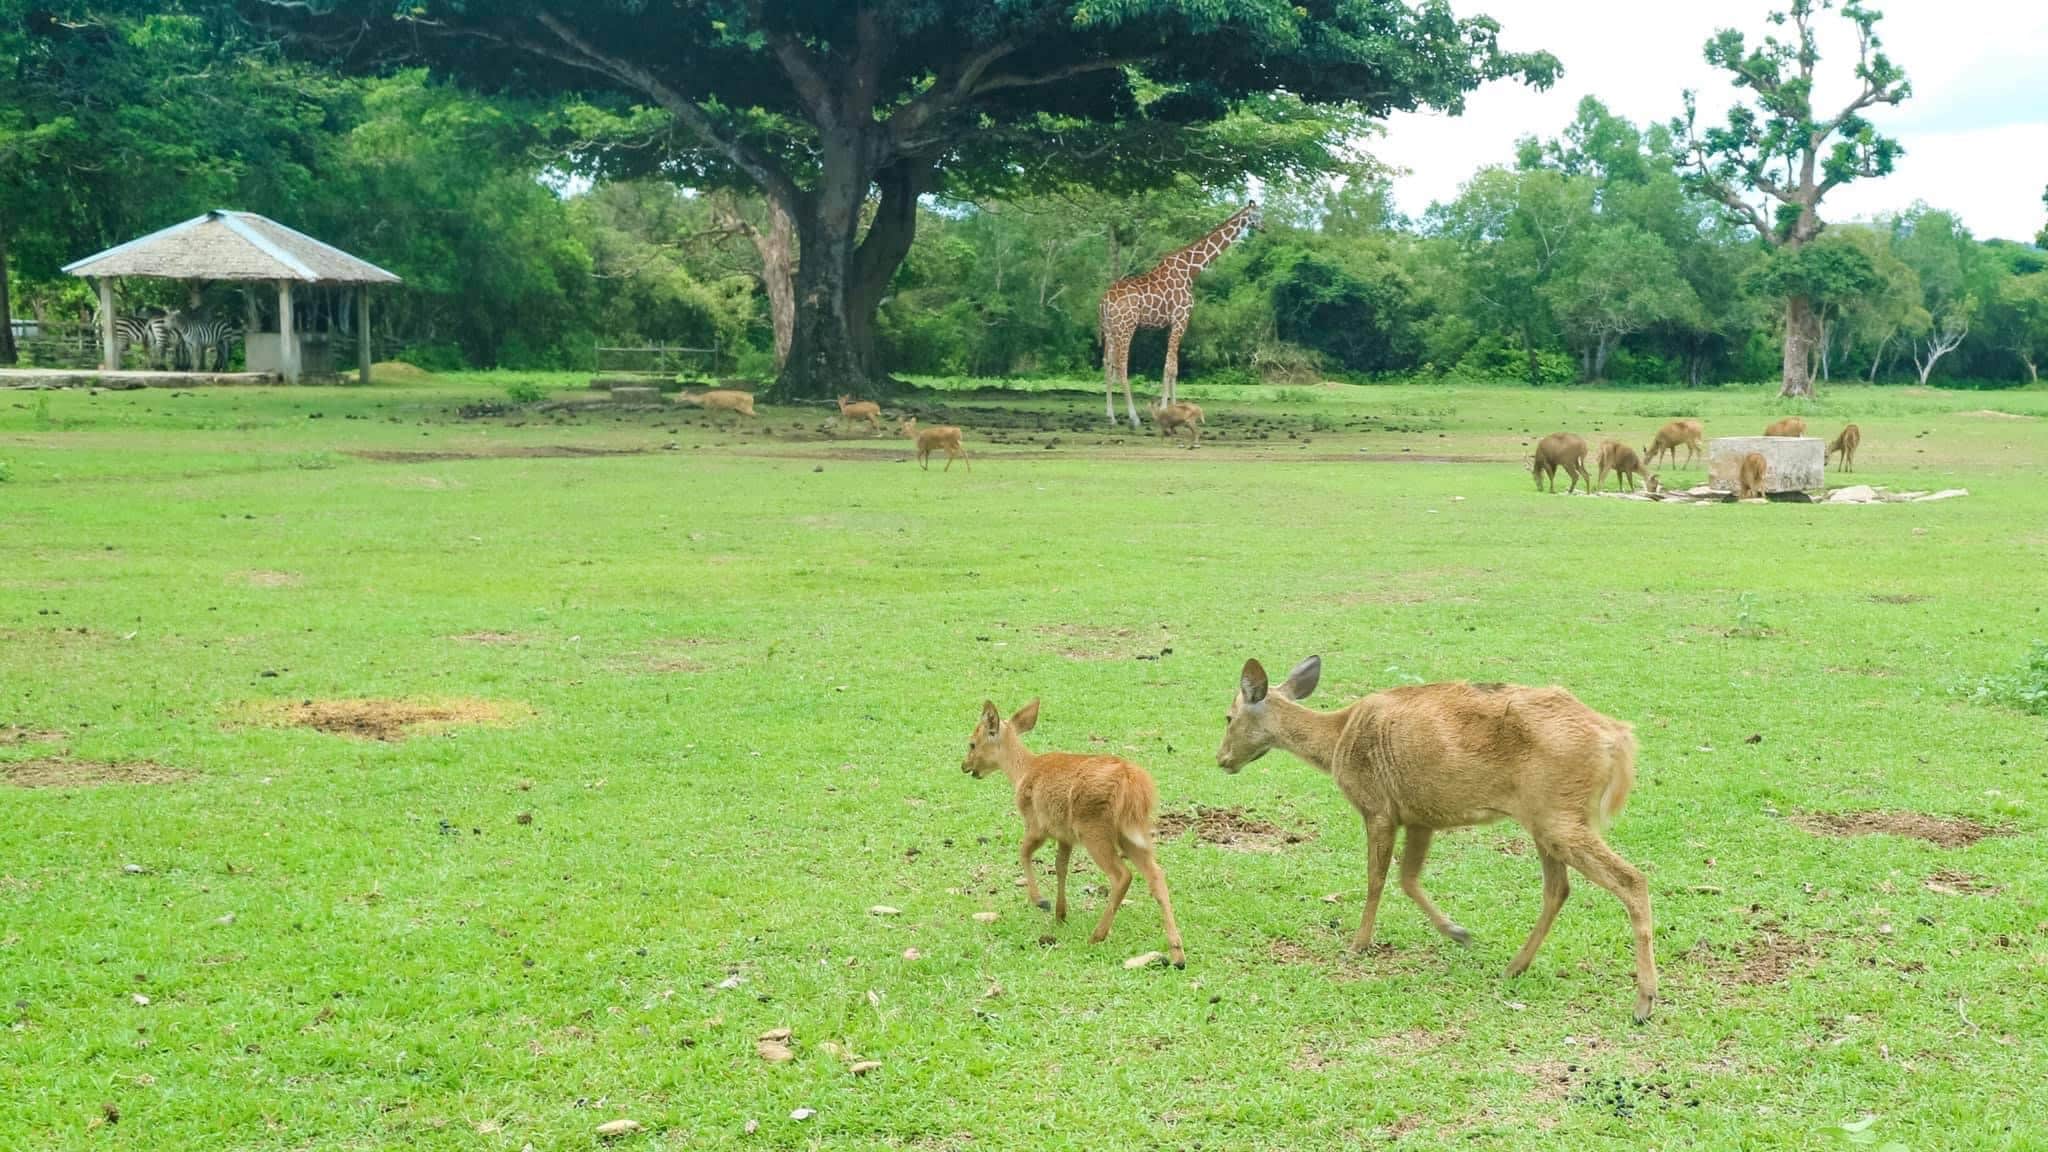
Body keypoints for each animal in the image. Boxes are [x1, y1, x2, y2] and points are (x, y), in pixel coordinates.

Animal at [966, 696, 1196, 963]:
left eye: (972, 743)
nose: (965, 766)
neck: (1022, 771)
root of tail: (1136, 787)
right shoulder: (1064, 836)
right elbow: (1061, 867)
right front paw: (1060, 913)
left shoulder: (1037, 824)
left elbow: (1023, 853)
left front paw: (1040, 900)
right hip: (1133, 834)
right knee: (1156, 875)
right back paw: (1177, 953)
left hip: (1094, 830)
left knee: (1122, 875)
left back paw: (1098, 935)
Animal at [1097, 199, 1253, 428]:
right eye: (1259, 215)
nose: (1265, 227)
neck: (1191, 270)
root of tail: (1104, 301)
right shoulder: (1181, 318)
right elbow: (1171, 367)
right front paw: (1167, 409)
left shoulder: (1172, 323)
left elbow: (1172, 365)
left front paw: (1176, 408)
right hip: (1126, 327)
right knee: (1121, 366)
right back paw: (1134, 418)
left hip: (1109, 328)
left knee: (1107, 364)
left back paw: (1111, 417)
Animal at [1212, 655, 1662, 1020]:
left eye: (1229, 716)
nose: (1222, 760)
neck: (1337, 739)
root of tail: (1617, 738)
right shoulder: (1419, 816)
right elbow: (1408, 879)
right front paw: (1459, 932)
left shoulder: (1377, 806)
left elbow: (1376, 880)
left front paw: (1359, 944)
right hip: (1545, 818)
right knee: (1558, 888)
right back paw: (1515, 966)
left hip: (1558, 814)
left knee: (1631, 879)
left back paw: (1644, 1002)